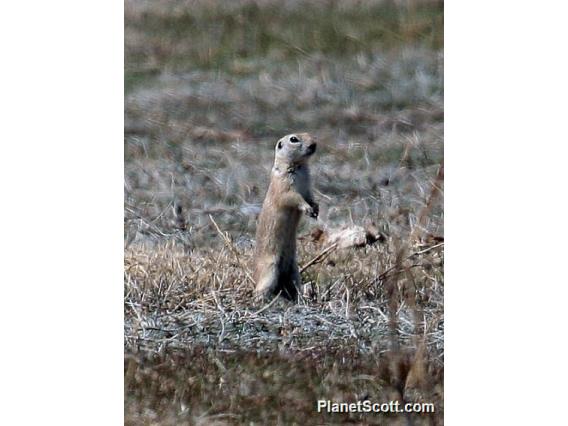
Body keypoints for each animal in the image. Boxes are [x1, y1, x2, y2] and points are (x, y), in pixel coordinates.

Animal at [254, 131, 320, 302]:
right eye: (294, 139)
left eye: (309, 133)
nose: (314, 144)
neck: (299, 166)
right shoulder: (284, 186)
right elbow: (293, 198)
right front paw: (308, 209)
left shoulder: (307, 187)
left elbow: (310, 197)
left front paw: (316, 210)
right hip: (269, 269)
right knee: (258, 291)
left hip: (294, 270)